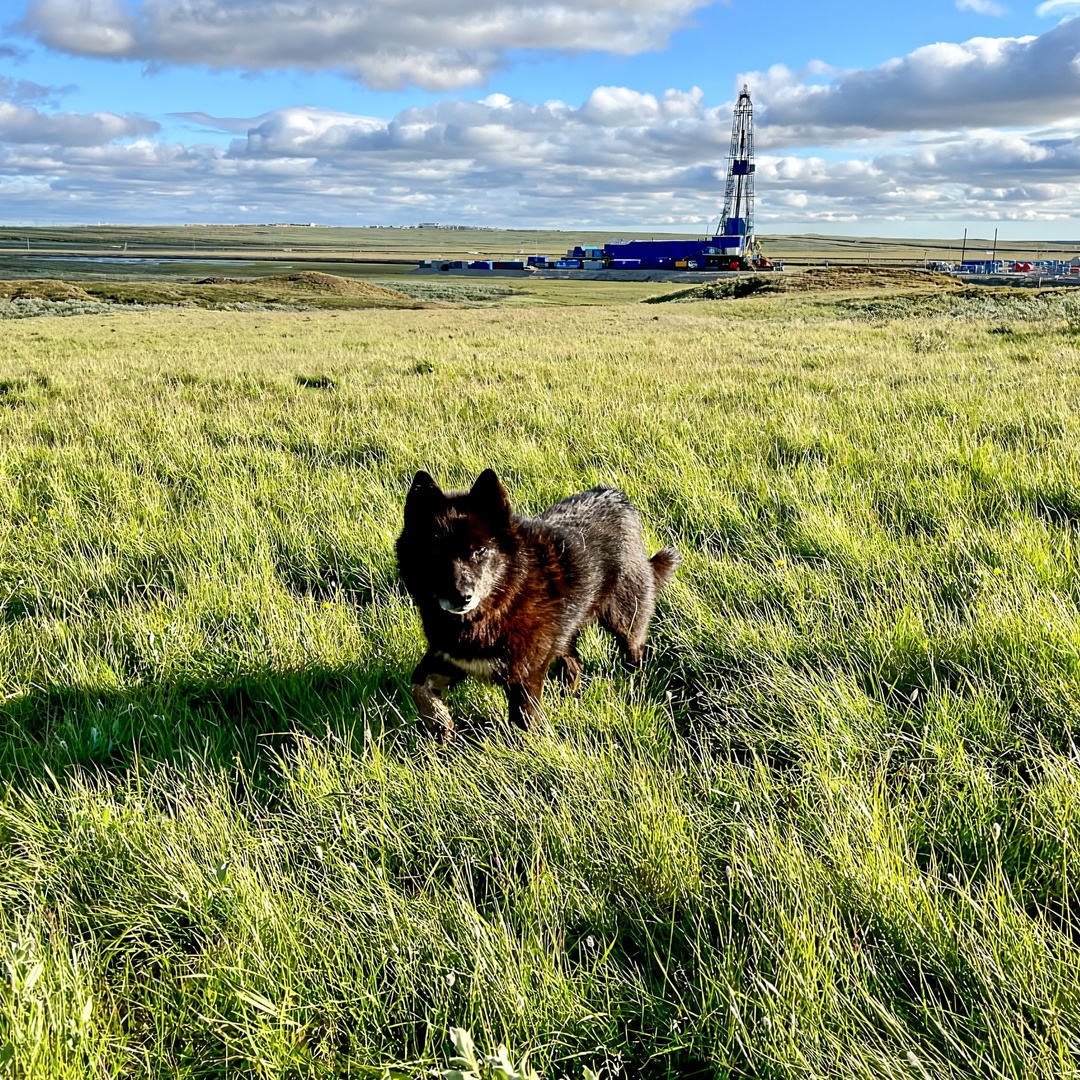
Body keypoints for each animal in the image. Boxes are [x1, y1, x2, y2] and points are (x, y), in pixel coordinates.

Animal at [397, 470, 678, 743]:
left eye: (480, 551)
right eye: (434, 554)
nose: (461, 596)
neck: (493, 610)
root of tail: (616, 496)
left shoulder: (525, 676)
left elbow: (523, 725)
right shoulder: (450, 657)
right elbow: (417, 685)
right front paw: (439, 724)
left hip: (627, 619)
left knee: (634, 654)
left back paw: (633, 685)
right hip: (565, 633)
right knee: (574, 666)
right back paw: (567, 699)